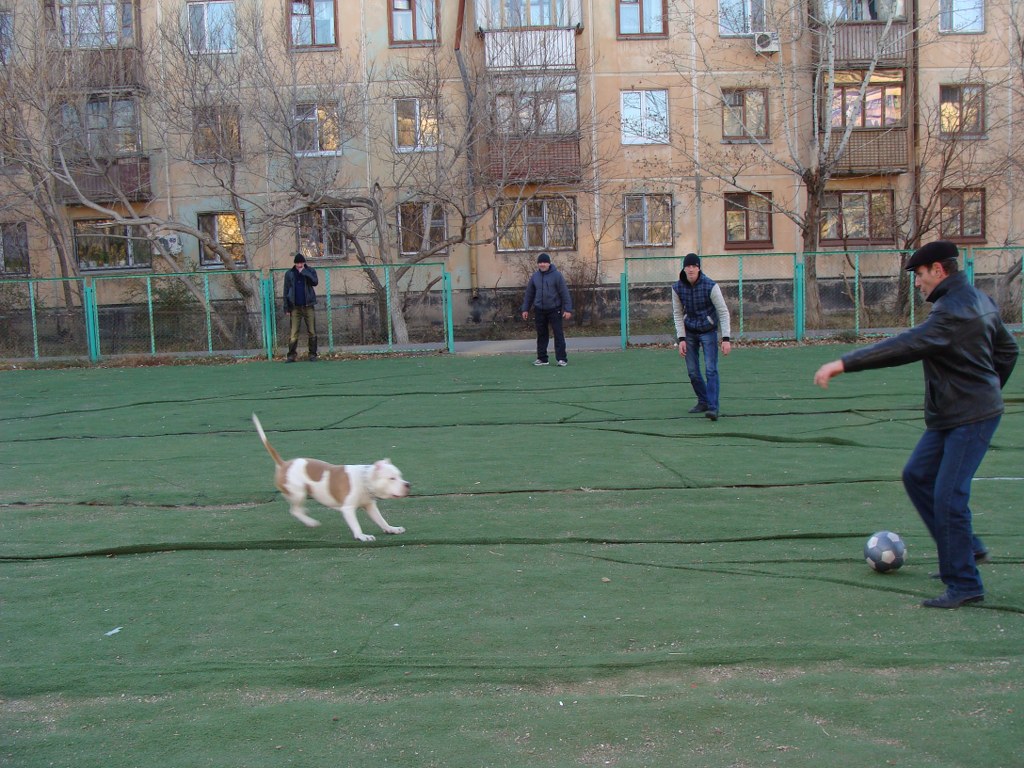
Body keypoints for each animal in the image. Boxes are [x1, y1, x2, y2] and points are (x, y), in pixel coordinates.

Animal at [252, 413, 410, 542]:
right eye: (391, 478)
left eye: (400, 476)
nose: (408, 484)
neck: (365, 479)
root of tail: (284, 464)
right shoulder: (348, 509)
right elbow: (356, 524)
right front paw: (362, 536)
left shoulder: (370, 506)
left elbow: (381, 520)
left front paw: (391, 529)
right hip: (299, 492)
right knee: (294, 510)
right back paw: (310, 522)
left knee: (296, 509)